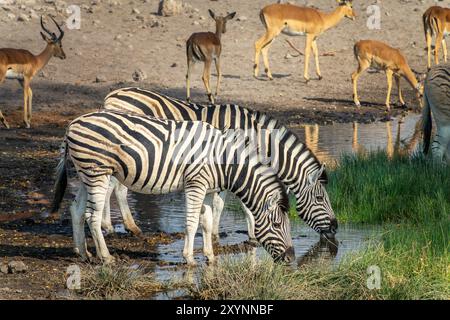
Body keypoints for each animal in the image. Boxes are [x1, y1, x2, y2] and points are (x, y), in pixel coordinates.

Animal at [51, 110, 296, 264]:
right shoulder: (196, 184)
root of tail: (72, 124)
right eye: (276, 225)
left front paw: (210, 256)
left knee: (76, 209)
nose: (292, 258)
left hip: (88, 174)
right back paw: (106, 257)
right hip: (97, 172)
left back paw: (83, 253)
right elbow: (191, 223)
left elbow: (206, 222)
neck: (223, 160)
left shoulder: (208, 190)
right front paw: (189, 258)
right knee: (92, 216)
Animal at [103, 87, 338, 240]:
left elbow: (220, 202)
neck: (255, 137)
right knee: (116, 189)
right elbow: (239, 203)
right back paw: (125, 227)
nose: (336, 228)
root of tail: (113, 95)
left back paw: (112, 226)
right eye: (320, 198)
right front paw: (252, 234)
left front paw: (215, 232)